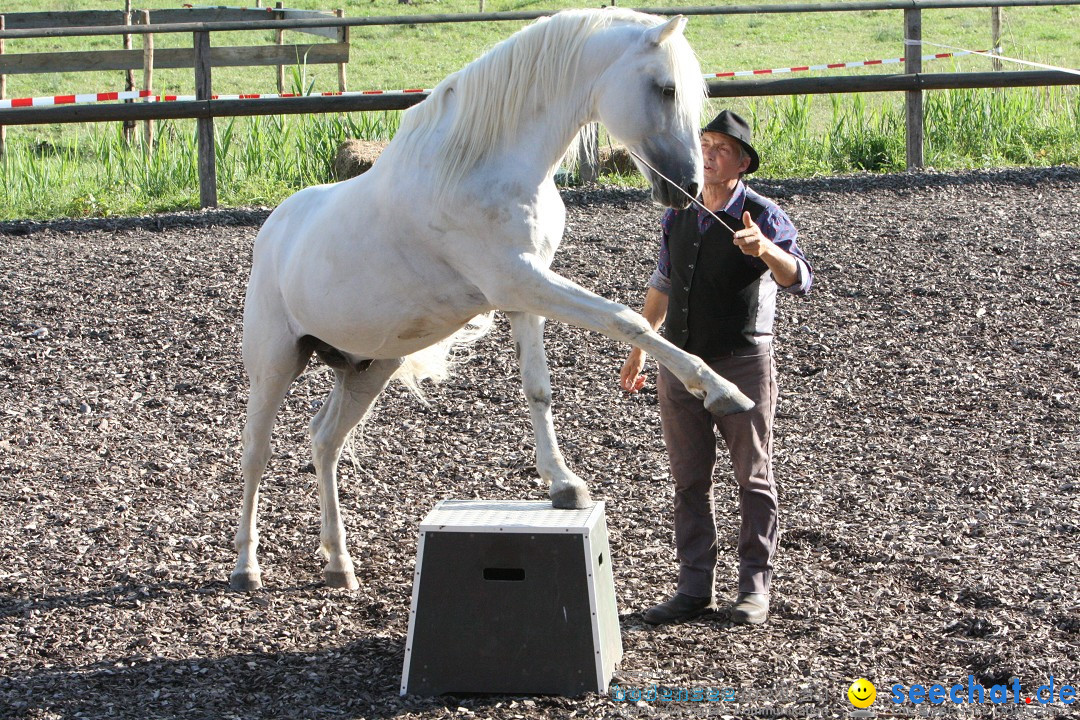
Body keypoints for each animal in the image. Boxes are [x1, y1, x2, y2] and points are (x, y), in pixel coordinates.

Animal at [227, 8, 751, 591]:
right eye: (665, 89)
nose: (687, 186)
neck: (485, 164)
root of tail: (274, 231)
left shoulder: (526, 296)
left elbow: (538, 390)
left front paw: (564, 486)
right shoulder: (518, 282)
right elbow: (628, 320)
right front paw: (721, 389)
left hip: (370, 367)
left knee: (324, 441)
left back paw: (340, 563)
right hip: (275, 362)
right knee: (255, 452)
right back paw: (246, 567)